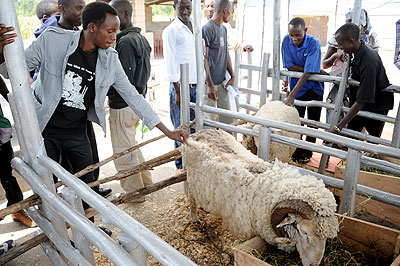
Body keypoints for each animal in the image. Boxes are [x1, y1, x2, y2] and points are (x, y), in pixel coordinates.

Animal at [183, 128, 340, 264]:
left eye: (326, 238)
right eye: (304, 232)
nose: (315, 264)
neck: (264, 196)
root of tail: (199, 132)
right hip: (192, 181)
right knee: (192, 200)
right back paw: (195, 219)